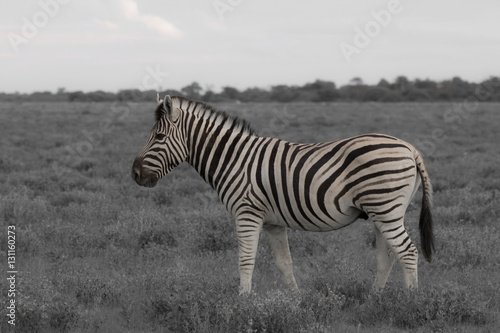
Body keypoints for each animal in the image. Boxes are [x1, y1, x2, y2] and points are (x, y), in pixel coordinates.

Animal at [132, 94, 434, 294]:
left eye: (159, 137)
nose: (135, 174)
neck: (233, 159)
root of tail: (410, 148)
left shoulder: (247, 213)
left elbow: (246, 259)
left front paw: (242, 302)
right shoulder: (273, 222)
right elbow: (284, 262)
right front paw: (295, 300)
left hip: (385, 207)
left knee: (407, 251)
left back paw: (410, 302)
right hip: (383, 211)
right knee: (388, 255)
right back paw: (375, 298)